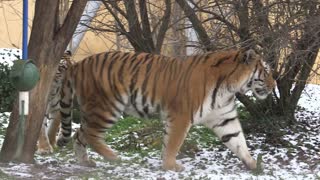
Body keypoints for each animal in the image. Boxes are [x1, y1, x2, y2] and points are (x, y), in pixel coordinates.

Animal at [55, 48, 276, 172]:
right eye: (265, 71)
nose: (274, 85)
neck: (229, 87)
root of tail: (77, 65)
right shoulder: (181, 116)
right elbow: (173, 144)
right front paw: (171, 166)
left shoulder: (224, 117)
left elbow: (238, 141)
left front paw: (255, 166)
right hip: (107, 107)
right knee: (90, 135)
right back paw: (113, 157)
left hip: (97, 110)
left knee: (79, 133)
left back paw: (85, 162)